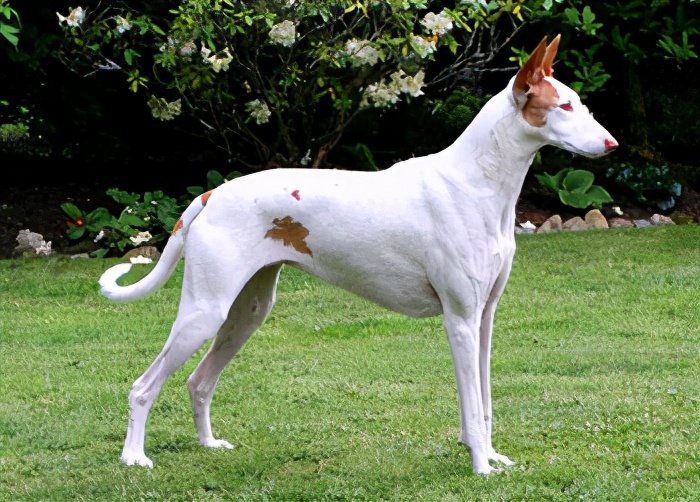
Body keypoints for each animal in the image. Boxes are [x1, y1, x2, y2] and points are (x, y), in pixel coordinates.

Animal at [98, 36, 616, 474]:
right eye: (565, 106)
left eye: (583, 104)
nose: (612, 143)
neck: (476, 182)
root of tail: (209, 194)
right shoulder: (460, 320)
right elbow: (471, 406)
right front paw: (481, 468)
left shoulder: (484, 318)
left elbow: (485, 404)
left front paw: (491, 457)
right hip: (204, 312)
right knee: (143, 387)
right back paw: (133, 458)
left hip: (247, 312)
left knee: (199, 381)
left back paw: (208, 445)